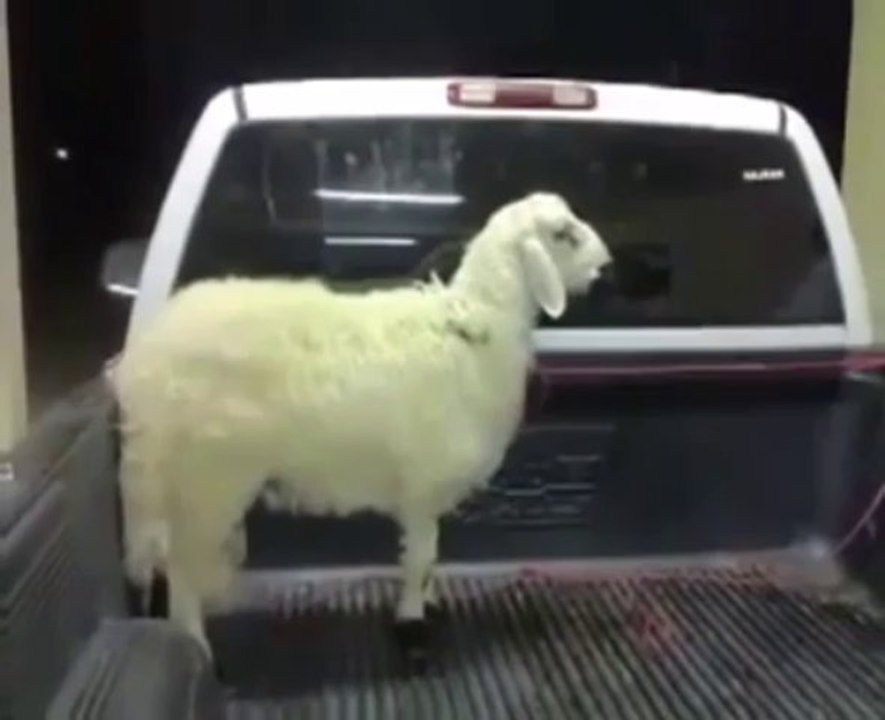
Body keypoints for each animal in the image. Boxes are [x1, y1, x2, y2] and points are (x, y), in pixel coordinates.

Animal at [113, 191, 612, 662]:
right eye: (564, 234)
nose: (606, 266)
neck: (478, 325)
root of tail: (145, 360)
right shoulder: (423, 484)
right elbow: (422, 559)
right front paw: (413, 623)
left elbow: (429, 557)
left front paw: (429, 605)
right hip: (209, 477)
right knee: (181, 570)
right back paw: (196, 645)